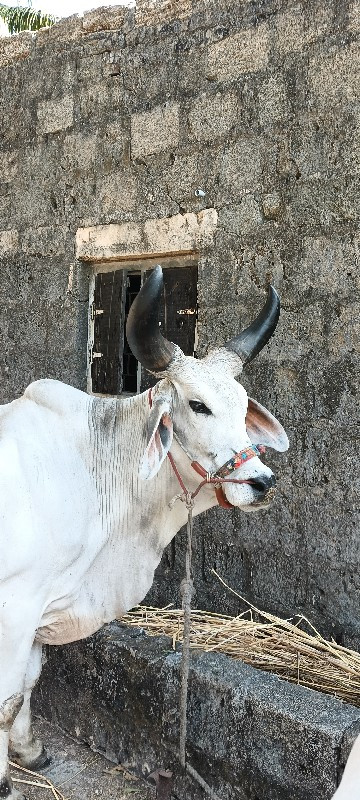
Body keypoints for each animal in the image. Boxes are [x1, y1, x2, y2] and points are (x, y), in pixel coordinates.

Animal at [0, 268, 290, 800]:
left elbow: (29, 682)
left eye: (243, 406)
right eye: (197, 405)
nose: (261, 481)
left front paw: (30, 751)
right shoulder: (16, 605)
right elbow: (8, 698)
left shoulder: (41, 605)